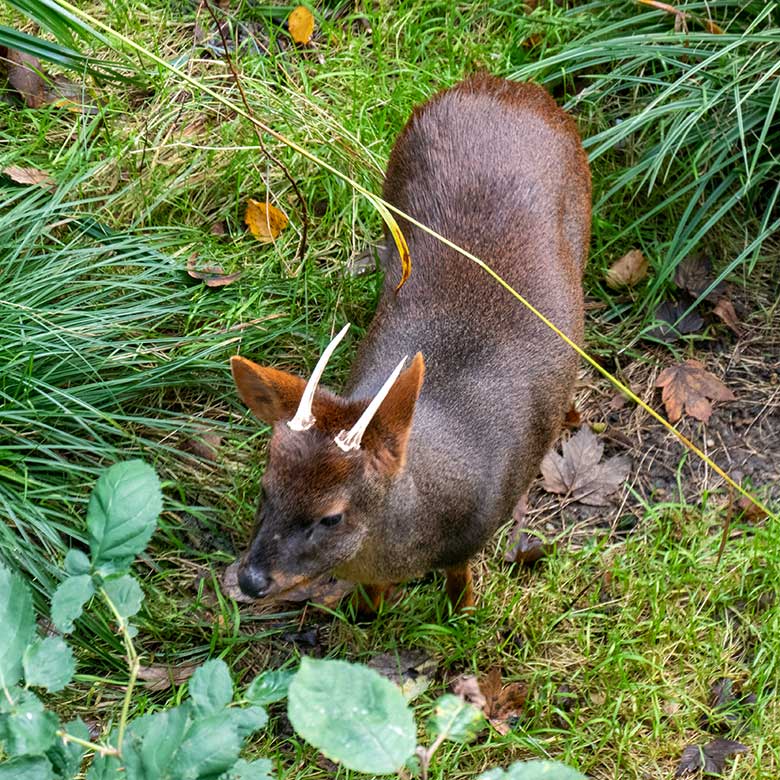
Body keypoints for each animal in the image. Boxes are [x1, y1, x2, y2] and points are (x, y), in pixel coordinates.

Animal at [232, 74, 592, 608]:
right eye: (264, 488)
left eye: (331, 516)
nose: (251, 580)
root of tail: (503, 83)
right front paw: (370, 610)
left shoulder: (476, 533)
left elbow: (460, 578)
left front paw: (461, 610)